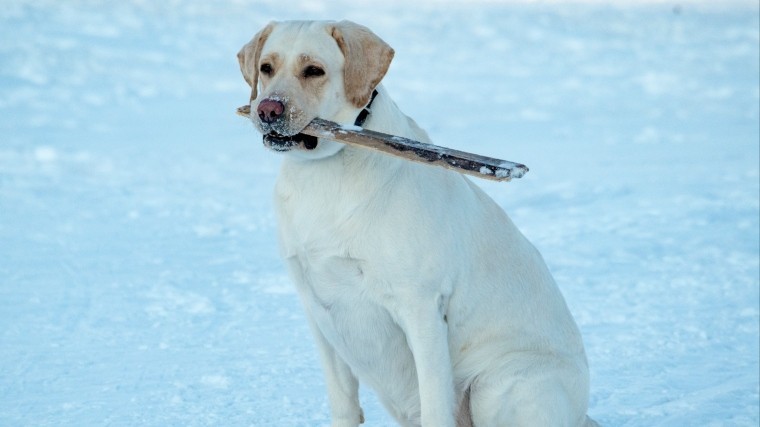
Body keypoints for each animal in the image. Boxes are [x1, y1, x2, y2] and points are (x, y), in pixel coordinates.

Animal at [239, 20, 600, 427]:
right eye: (266, 68)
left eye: (314, 70)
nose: (268, 109)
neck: (325, 174)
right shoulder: (317, 311)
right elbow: (344, 405)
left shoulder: (421, 308)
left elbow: (435, 408)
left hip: (499, 384)